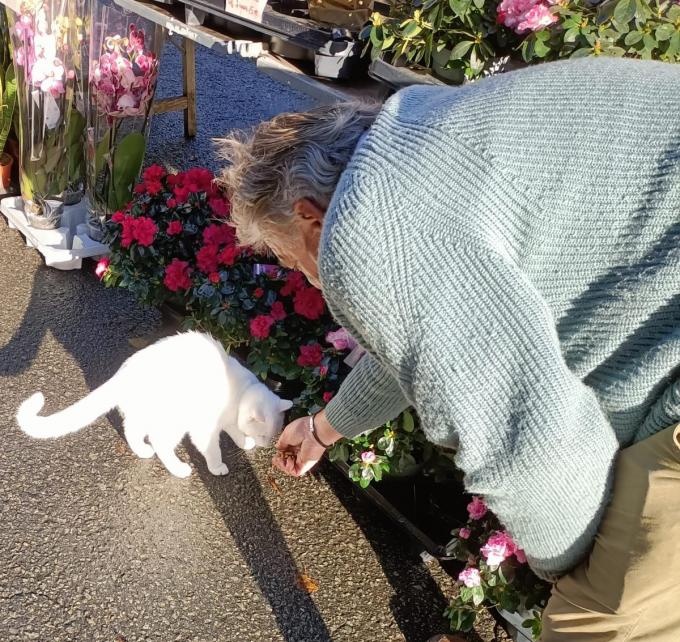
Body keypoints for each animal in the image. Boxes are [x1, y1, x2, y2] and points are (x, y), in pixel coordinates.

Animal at [15, 330, 292, 476]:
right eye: (265, 435)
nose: (265, 444)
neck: (241, 392)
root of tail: (124, 373)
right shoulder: (205, 428)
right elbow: (213, 448)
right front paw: (217, 466)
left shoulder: (229, 420)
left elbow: (235, 432)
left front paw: (245, 443)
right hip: (173, 422)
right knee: (160, 443)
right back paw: (179, 468)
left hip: (145, 416)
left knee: (132, 430)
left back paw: (142, 451)